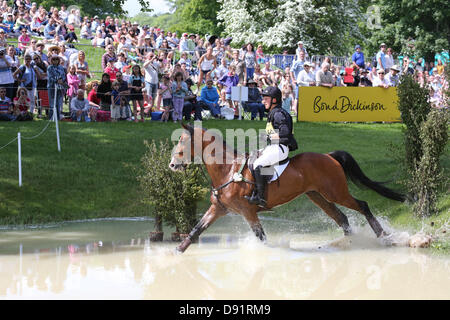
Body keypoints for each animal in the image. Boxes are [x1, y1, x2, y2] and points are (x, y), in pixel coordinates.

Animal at [171, 122, 406, 252]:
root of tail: (329, 156)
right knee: (342, 218)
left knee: (362, 206)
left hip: (336, 192)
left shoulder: (248, 212)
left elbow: (262, 238)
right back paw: (350, 243)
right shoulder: (218, 209)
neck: (228, 169)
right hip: (317, 196)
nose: (172, 165)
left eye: (182, 141)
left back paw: (383, 236)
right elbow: (195, 231)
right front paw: (174, 253)